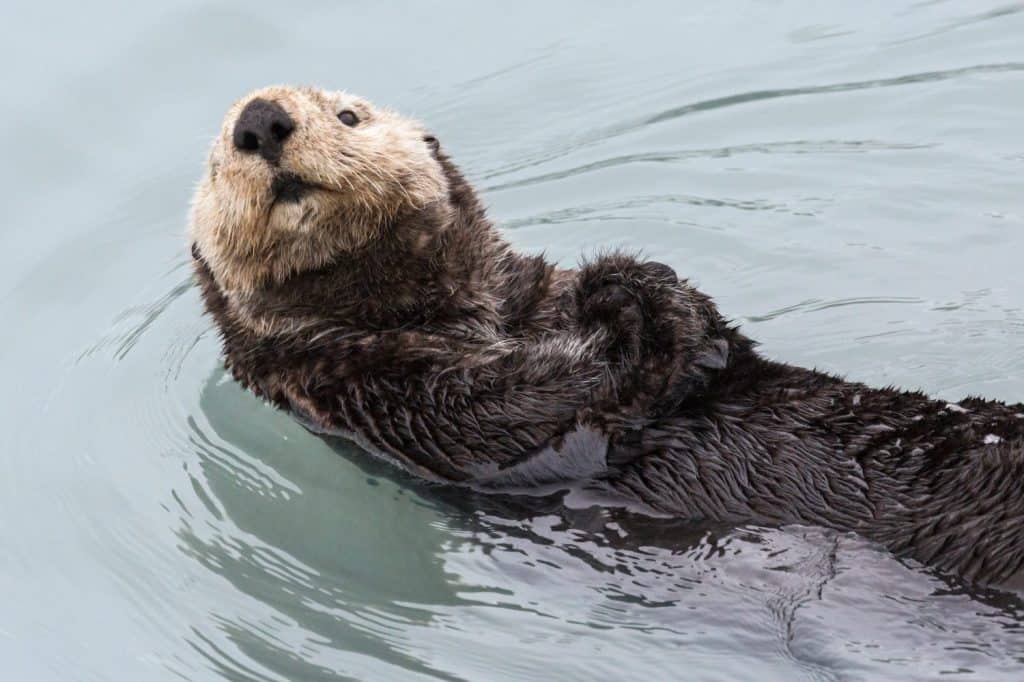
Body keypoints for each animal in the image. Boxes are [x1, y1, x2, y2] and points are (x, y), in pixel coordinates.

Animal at [190, 86, 1024, 587]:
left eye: (349, 117)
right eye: (217, 158)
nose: (260, 120)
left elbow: (714, 341)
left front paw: (630, 283)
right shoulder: (394, 400)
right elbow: (554, 405)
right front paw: (622, 292)